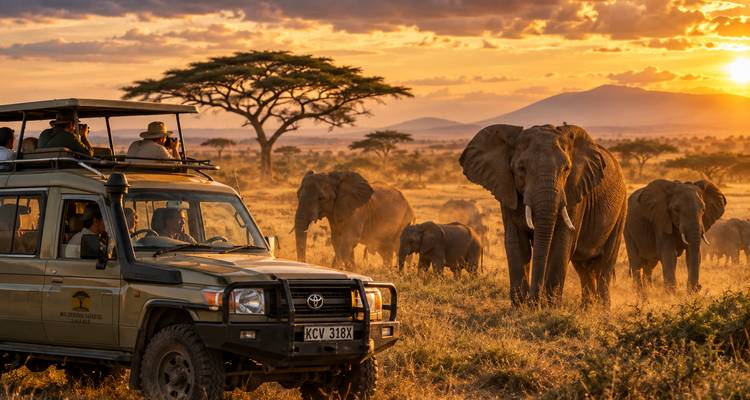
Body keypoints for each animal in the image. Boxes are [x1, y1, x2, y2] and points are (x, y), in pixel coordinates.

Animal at [460, 124, 627, 307]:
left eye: (566, 169)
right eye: (521, 169)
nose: (534, 301)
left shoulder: (574, 191)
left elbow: (561, 243)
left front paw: (549, 307)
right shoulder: (507, 190)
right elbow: (517, 243)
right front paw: (520, 307)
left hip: (621, 209)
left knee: (605, 264)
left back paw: (602, 310)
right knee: (584, 268)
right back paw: (588, 309)